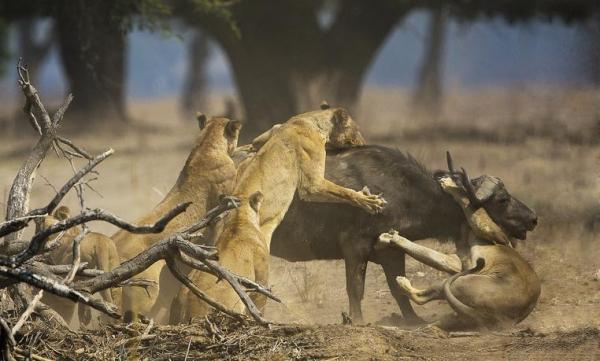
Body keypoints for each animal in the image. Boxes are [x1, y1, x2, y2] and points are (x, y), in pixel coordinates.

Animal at [378, 173, 540, 328]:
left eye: (503, 199)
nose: (446, 177)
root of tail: (498, 319)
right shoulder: (458, 260)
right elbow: (429, 254)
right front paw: (389, 238)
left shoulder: (496, 236)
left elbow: (469, 204)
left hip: (460, 282)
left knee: (422, 297)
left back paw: (401, 282)